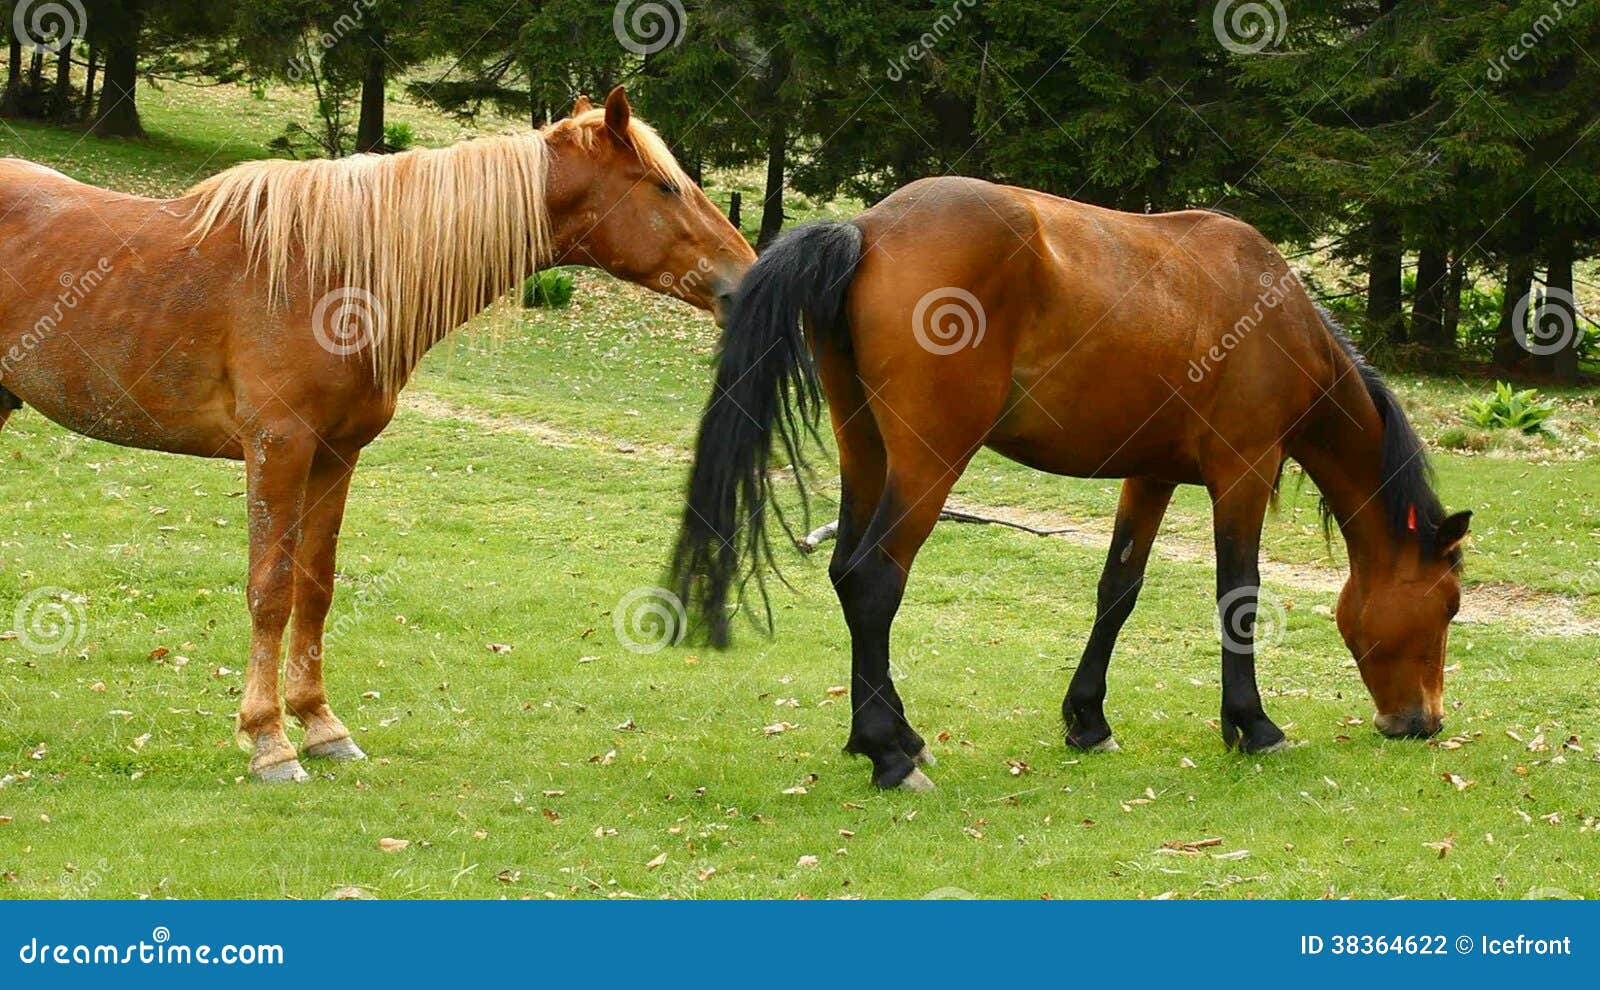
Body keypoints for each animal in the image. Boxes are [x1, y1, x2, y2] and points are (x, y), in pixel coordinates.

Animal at [1, 87, 755, 783]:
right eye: (665, 186)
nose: (744, 280)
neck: (331, 277)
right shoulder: (277, 450)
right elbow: (270, 591)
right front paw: (269, 740)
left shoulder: (336, 456)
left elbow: (316, 588)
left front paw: (321, 726)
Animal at [668, 175, 1465, 790]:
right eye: (1450, 606)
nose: (1424, 723)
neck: (1276, 320)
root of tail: (866, 229)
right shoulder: (1244, 470)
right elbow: (1238, 593)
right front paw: (1253, 725)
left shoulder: (1150, 476)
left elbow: (1118, 592)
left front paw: (1088, 719)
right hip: (929, 462)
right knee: (873, 580)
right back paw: (888, 754)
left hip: (864, 450)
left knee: (844, 571)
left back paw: (900, 736)